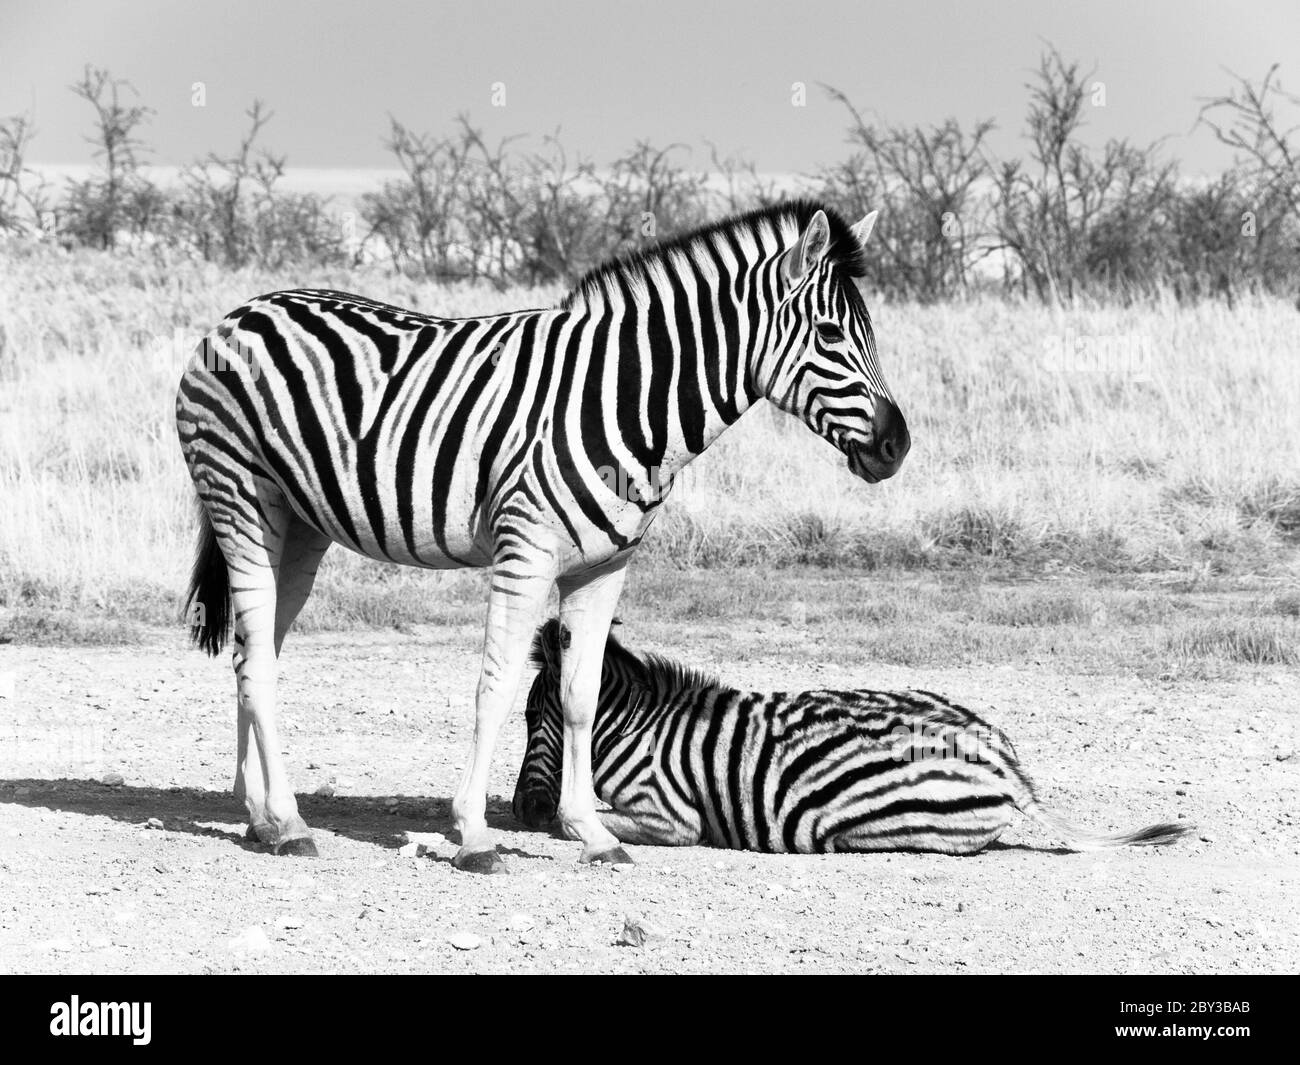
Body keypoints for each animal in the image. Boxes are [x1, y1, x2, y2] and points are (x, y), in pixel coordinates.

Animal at [175, 201, 911, 873]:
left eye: (870, 334)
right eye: (829, 334)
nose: (897, 446)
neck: (624, 399)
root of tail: (242, 311)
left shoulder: (604, 567)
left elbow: (581, 695)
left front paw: (593, 833)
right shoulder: (523, 552)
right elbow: (496, 685)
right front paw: (474, 835)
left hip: (299, 528)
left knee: (252, 655)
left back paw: (259, 816)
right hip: (241, 499)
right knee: (258, 661)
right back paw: (290, 822)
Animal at [513, 620, 1195, 854]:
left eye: (530, 720)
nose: (520, 806)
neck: (636, 730)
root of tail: (1006, 765)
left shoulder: (672, 817)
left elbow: (588, 822)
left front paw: (561, 825)